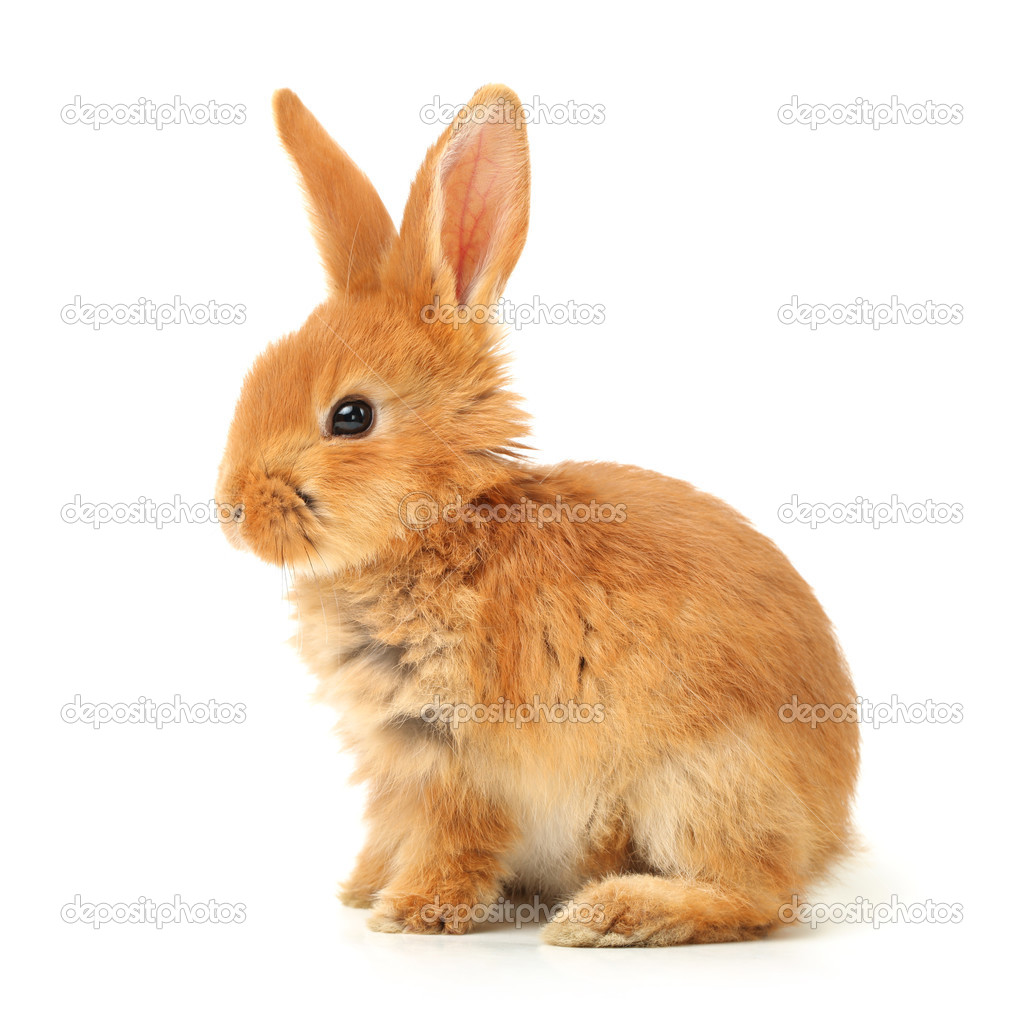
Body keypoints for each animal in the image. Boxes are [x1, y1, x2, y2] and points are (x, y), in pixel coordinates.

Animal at [215, 84, 859, 947]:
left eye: (351, 416)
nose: (231, 507)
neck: (441, 527)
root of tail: (829, 827)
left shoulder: (455, 756)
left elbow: (450, 840)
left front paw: (409, 913)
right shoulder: (394, 764)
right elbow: (389, 829)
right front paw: (361, 891)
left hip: (698, 787)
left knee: (757, 896)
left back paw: (609, 914)